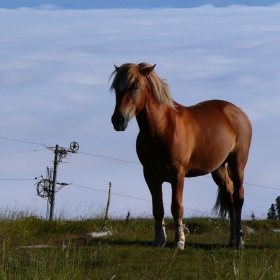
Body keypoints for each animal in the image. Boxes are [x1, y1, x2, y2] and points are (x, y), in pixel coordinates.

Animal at [110, 63, 253, 249]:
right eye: (115, 88)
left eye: (135, 87)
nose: (118, 120)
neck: (161, 128)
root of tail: (239, 113)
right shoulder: (150, 175)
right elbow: (158, 208)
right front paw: (159, 240)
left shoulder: (177, 174)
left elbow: (176, 207)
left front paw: (179, 241)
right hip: (219, 169)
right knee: (230, 197)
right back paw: (233, 239)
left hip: (237, 164)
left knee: (238, 197)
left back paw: (240, 241)